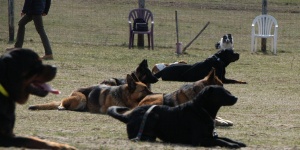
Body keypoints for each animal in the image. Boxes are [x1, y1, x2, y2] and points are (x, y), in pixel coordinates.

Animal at [107, 85, 246, 148]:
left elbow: (225, 138)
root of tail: (129, 117)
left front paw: (237, 142)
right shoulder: (200, 139)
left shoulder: (210, 135)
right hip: (153, 115)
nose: (235, 98)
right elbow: (220, 140)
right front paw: (232, 145)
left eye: (227, 91)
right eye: (222, 93)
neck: (202, 110)